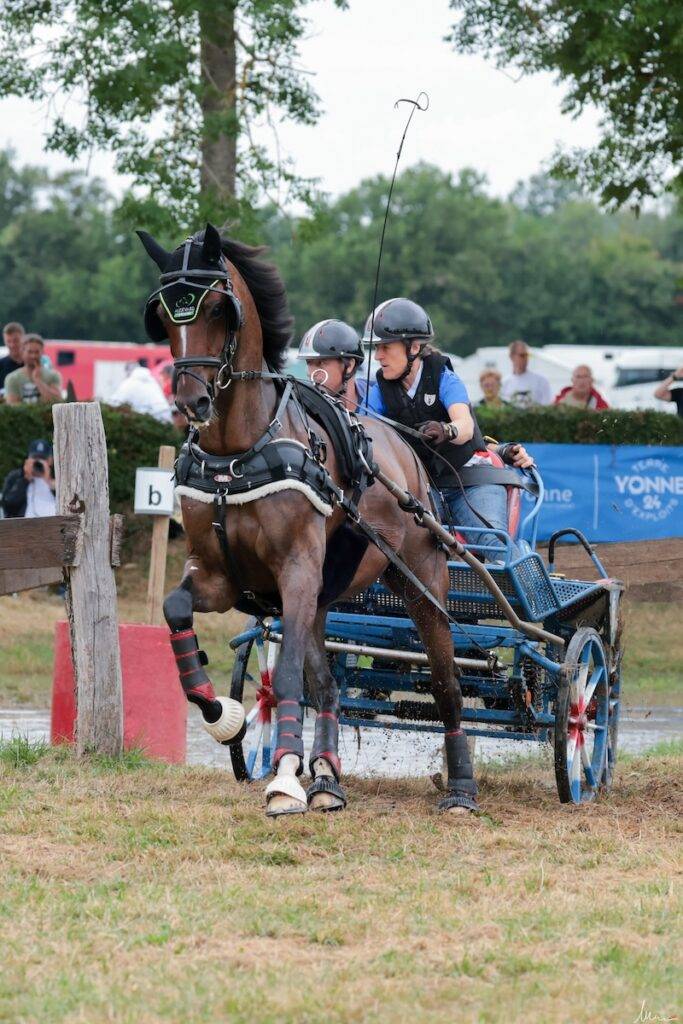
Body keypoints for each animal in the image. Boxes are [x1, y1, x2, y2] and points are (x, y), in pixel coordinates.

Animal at [137, 222, 478, 817]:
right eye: (161, 314)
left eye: (217, 309)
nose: (191, 402)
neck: (237, 453)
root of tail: (409, 451)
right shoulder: (218, 575)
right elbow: (177, 610)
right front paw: (222, 716)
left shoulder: (295, 570)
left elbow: (289, 672)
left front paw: (283, 780)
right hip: (322, 596)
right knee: (330, 688)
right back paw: (325, 779)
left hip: (421, 581)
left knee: (445, 683)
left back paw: (458, 788)